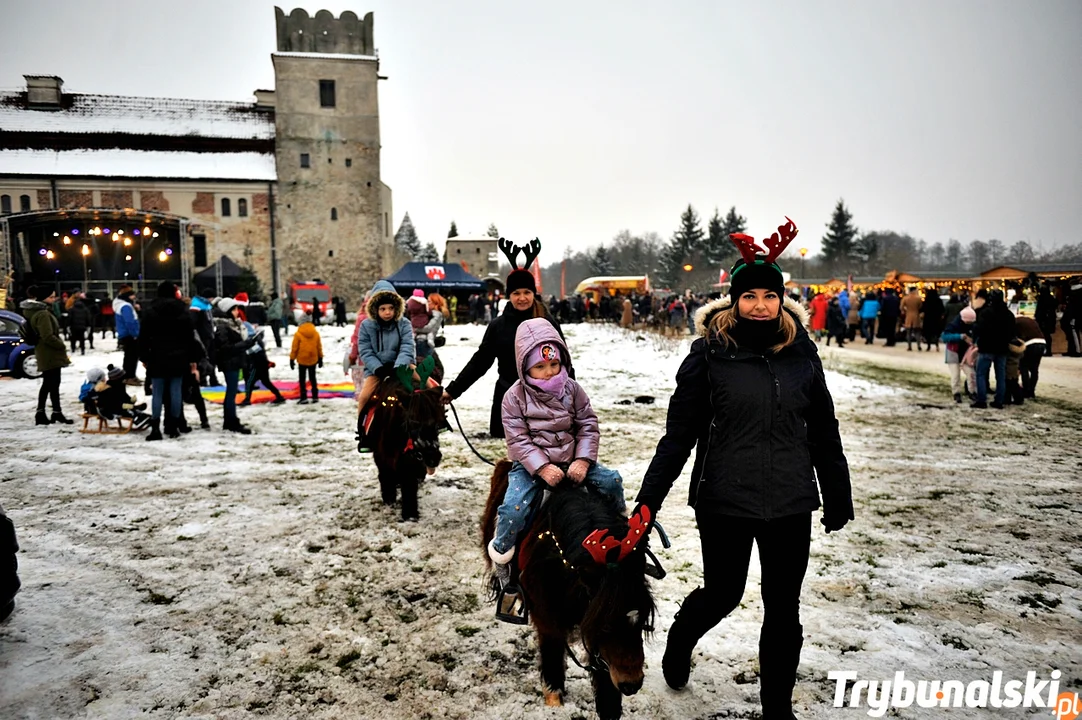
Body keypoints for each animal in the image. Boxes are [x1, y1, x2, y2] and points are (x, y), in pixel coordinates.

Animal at [365, 372, 445, 519]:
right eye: (413, 421)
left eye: (437, 423)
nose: (434, 458)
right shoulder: (382, 455)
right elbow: (386, 476)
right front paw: (389, 501)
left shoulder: (409, 458)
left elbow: (409, 481)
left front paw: (410, 513)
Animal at [480, 461, 649, 718]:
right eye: (606, 624)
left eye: (642, 619)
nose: (631, 684)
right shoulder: (548, 619)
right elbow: (552, 660)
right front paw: (554, 703)